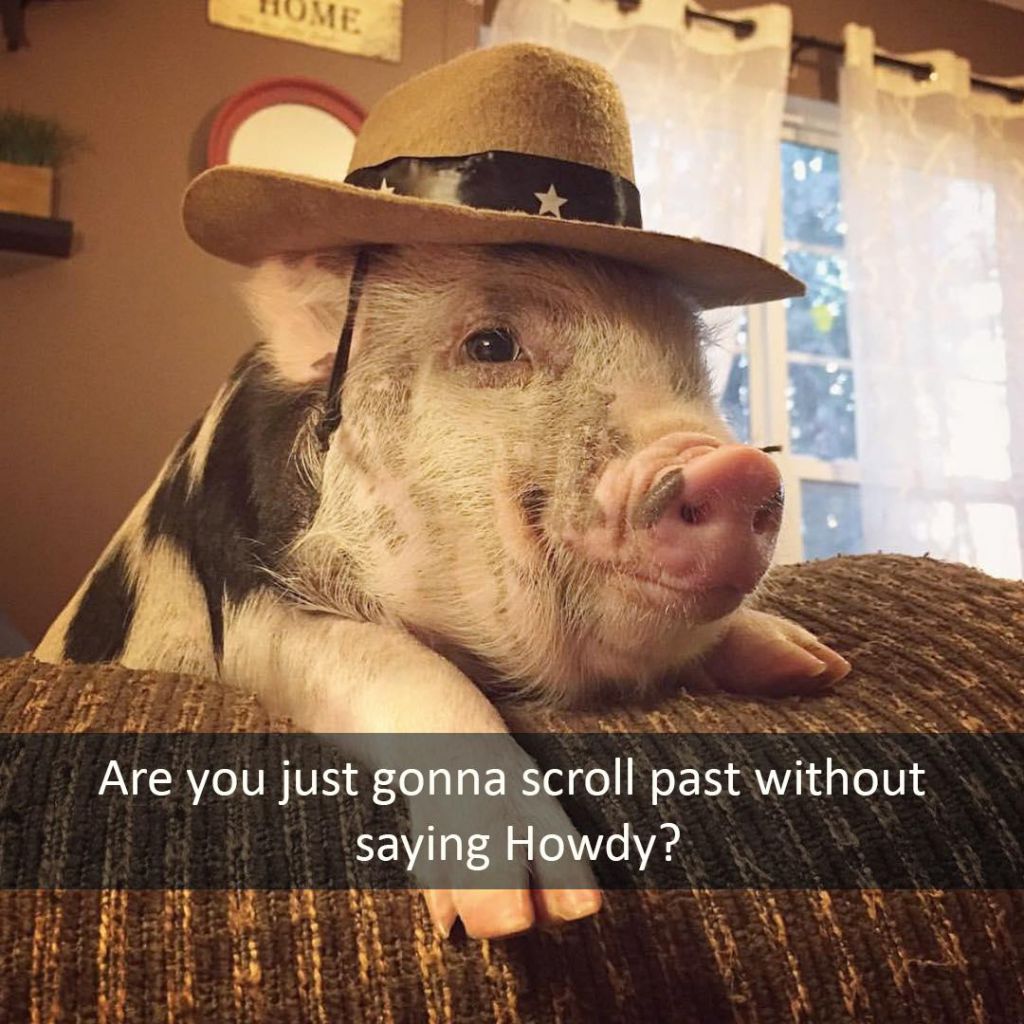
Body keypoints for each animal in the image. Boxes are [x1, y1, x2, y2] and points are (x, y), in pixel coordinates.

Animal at [36, 243, 850, 939]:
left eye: (693, 370)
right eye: (490, 346)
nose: (738, 469)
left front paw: (815, 666)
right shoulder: (255, 614)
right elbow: (405, 665)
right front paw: (534, 910)